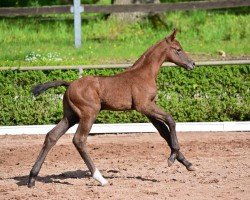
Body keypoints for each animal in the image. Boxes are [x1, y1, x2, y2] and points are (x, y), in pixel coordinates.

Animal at [27, 29, 195, 188]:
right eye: (178, 49)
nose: (192, 64)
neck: (143, 74)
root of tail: (69, 85)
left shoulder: (148, 110)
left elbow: (164, 132)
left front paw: (187, 163)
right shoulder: (144, 106)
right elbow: (170, 120)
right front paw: (172, 158)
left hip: (71, 116)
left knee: (52, 136)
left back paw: (32, 178)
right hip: (89, 114)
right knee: (79, 140)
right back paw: (100, 178)